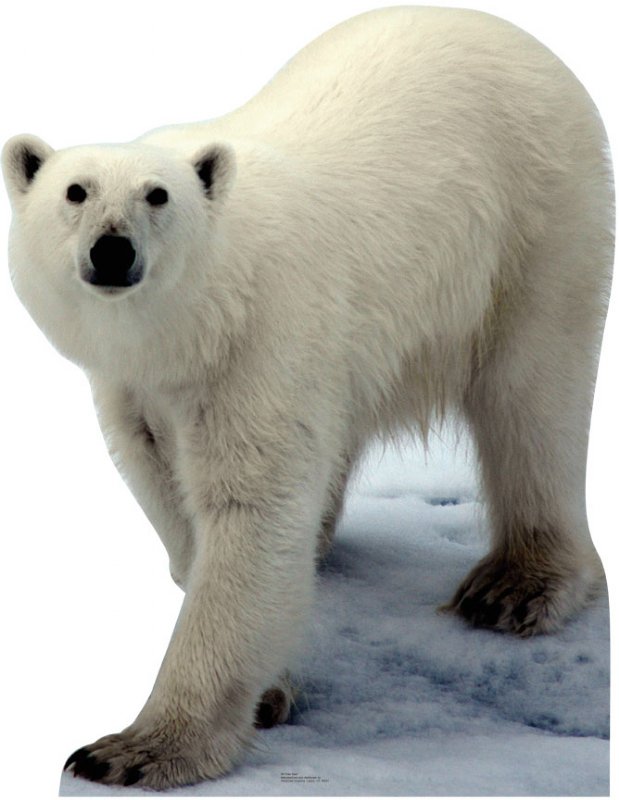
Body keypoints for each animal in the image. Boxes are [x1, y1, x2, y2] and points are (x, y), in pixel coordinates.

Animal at [2, 5, 613, 790]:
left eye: (157, 195)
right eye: (75, 191)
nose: (113, 250)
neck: (195, 326)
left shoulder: (263, 340)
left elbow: (251, 511)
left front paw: (133, 750)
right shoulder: (134, 387)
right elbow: (169, 489)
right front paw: (262, 680)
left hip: (538, 220)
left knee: (532, 398)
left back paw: (513, 586)